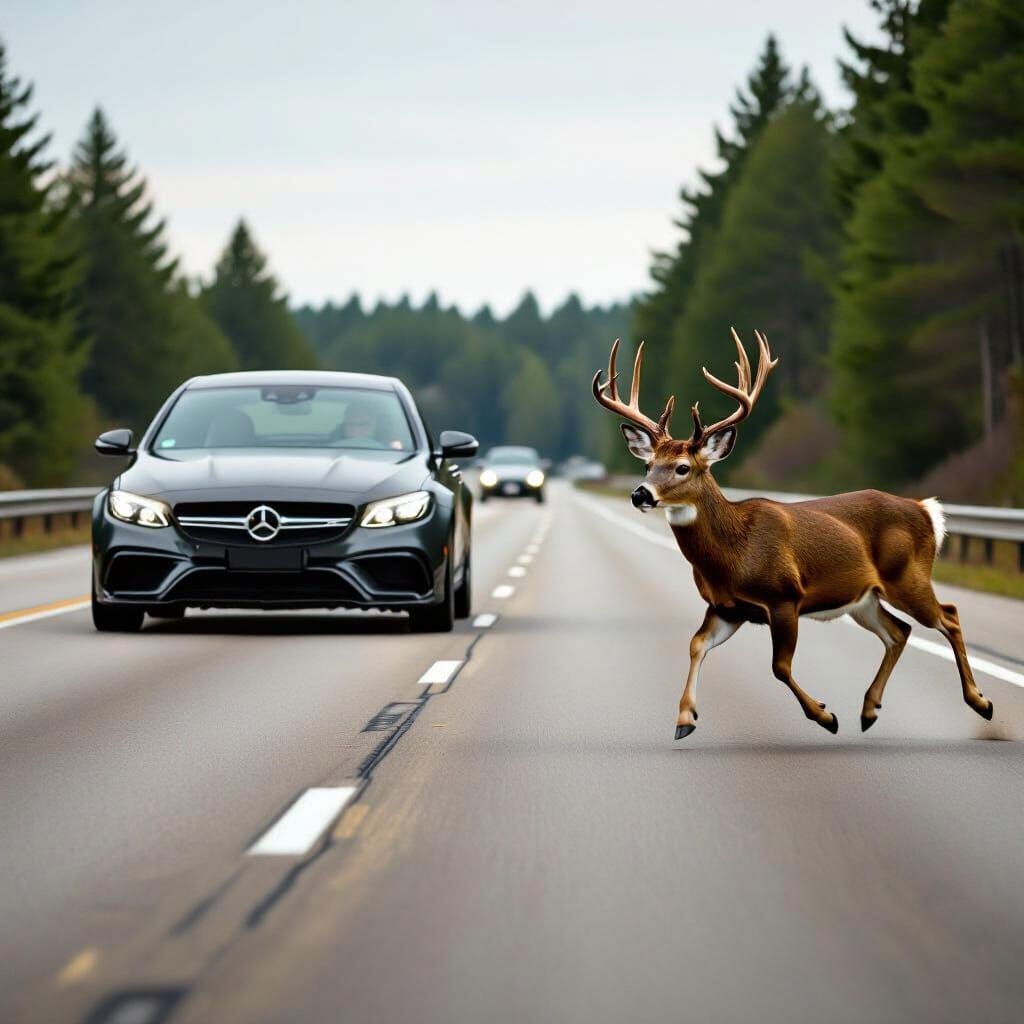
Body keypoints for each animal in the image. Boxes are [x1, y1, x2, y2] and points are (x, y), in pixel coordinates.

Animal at [592, 329, 994, 739]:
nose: (640, 494)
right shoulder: (726, 608)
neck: (733, 554)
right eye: (648, 464)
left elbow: (779, 667)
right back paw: (869, 710)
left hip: (907, 576)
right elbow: (695, 644)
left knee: (948, 615)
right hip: (865, 598)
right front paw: (685, 719)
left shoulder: (784, 596)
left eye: (683, 468)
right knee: (899, 631)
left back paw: (980, 701)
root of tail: (926, 509)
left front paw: (825, 716)